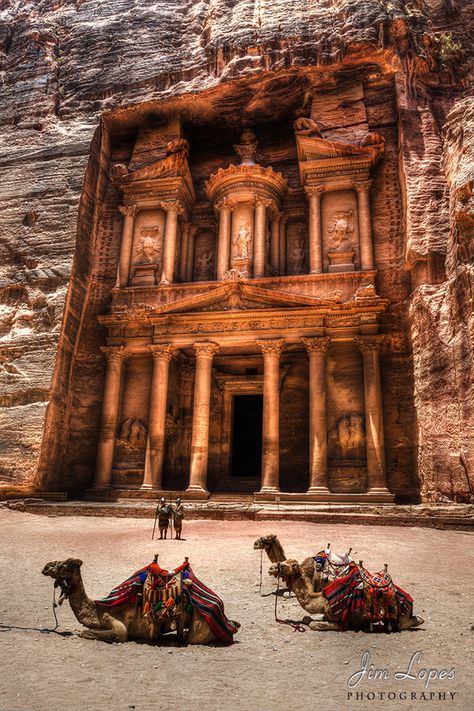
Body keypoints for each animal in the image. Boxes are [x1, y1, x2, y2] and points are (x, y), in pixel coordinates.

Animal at [42, 560, 239, 648]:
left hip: (200, 628)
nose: (45, 567)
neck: (98, 608)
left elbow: (88, 632)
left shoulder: (115, 623)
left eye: (62, 565)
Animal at [268, 560, 424, 632]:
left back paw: (419, 620)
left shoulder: (341, 621)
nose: (273, 567)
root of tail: (410, 601)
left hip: (400, 617)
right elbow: (307, 618)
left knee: (405, 623)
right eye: (283, 563)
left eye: (287, 565)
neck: (323, 600)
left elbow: (313, 624)